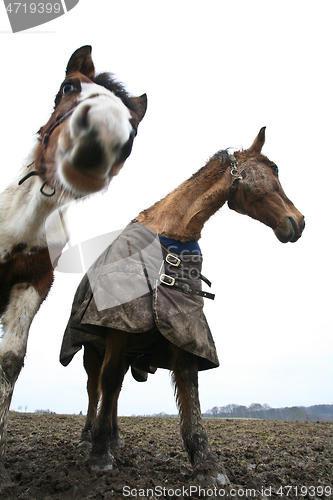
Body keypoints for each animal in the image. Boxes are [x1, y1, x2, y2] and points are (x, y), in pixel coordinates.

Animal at [61, 127, 304, 482]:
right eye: (273, 169)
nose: (298, 221)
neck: (169, 236)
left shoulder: (185, 327)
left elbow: (189, 386)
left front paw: (206, 463)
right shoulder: (120, 323)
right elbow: (109, 379)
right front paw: (100, 453)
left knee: (114, 390)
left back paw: (115, 438)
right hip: (92, 348)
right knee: (97, 387)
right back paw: (89, 439)